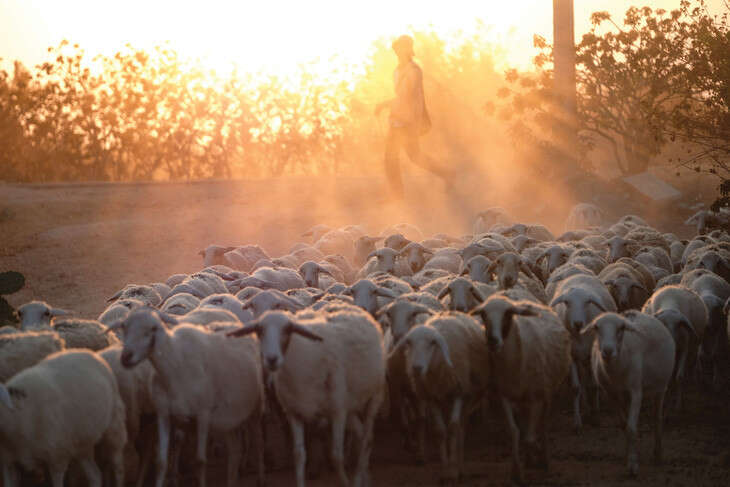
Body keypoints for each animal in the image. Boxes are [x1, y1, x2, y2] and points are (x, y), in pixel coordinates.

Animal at [0, 350, 126, 487]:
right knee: (95, 475)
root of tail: (87, 352)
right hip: (82, 443)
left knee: (118, 466)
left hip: (114, 425)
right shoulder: (9, 462)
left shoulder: (57, 459)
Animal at [229, 308, 384, 487]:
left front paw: (346, 482)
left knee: (367, 438)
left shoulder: (338, 412)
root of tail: (353, 310)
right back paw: (365, 477)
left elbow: (336, 456)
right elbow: (299, 455)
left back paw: (358, 477)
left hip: (374, 395)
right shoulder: (294, 412)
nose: (272, 359)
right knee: (361, 433)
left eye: (288, 329)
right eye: (259, 330)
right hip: (350, 405)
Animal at [390, 312, 486, 484]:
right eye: (409, 343)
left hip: (468, 394)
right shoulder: (432, 396)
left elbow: (453, 428)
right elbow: (440, 431)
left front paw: (453, 472)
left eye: (432, 343)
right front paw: (446, 470)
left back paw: (460, 467)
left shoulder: (459, 391)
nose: (416, 368)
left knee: (461, 427)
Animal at [548, 274, 616, 430]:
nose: (578, 323)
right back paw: (585, 407)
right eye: (567, 302)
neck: (580, 336)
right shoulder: (572, 356)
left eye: (587, 302)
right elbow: (575, 388)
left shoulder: (592, 354)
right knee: (583, 380)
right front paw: (577, 422)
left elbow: (594, 385)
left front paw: (595, 417)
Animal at [584, 312, 672, 476]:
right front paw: (628, 455)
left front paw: (632, 466)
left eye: (621, 328)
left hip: (661, 387)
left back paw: (658, 455)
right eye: (597, 327)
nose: (608, 351)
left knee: (657, 418)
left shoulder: (636, 391)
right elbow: (623, 425)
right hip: (624, 395)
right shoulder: (610, 393)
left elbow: (631, 428)